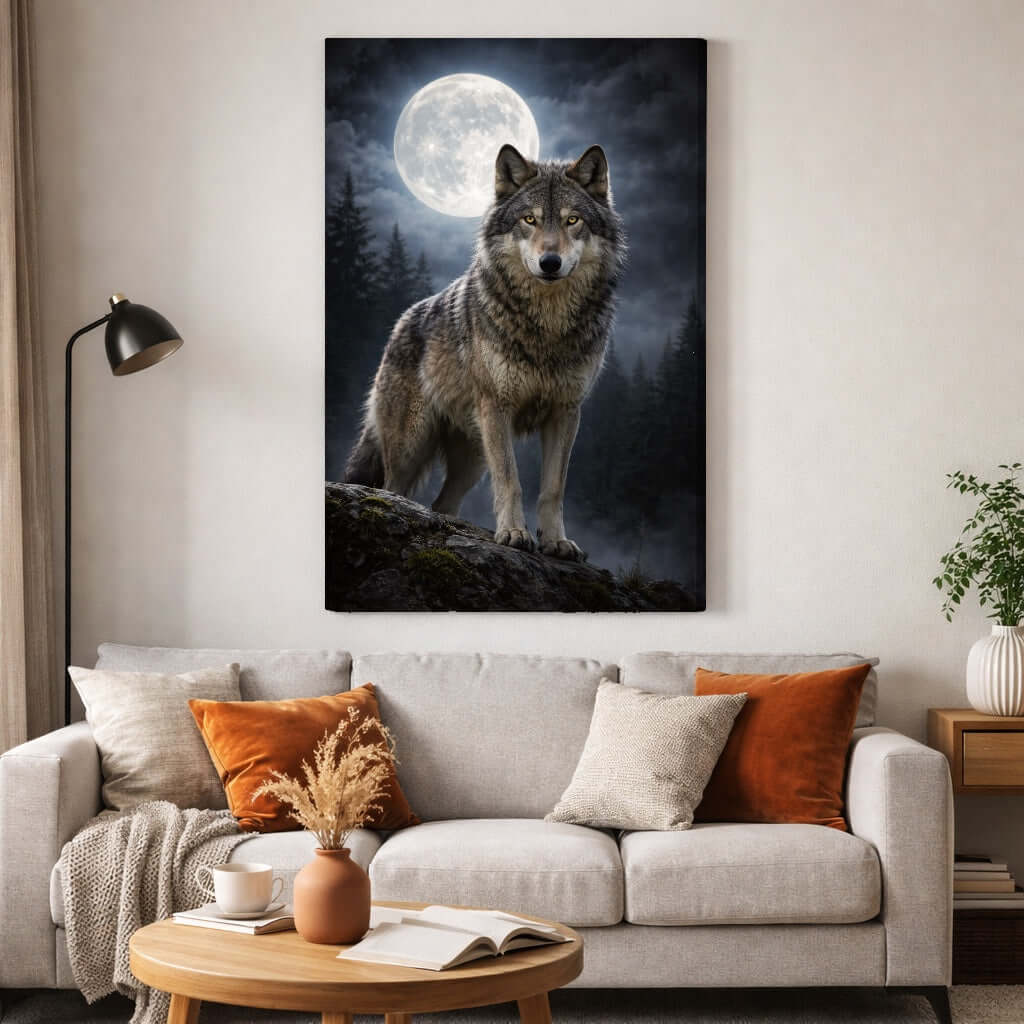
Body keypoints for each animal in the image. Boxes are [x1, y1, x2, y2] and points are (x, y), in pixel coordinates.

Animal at [345, 143, 626, 560]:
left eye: (572, 220)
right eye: (529, 219)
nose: (550, 262)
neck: (548, 326)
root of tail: (400, 323)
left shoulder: (565, 412)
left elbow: (553, 488)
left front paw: (556, 541)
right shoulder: (497, 407)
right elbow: (511, 481)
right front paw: (514, 533)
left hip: (474, 458)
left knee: (441, 504)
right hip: (415, 448)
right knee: (392, 490)